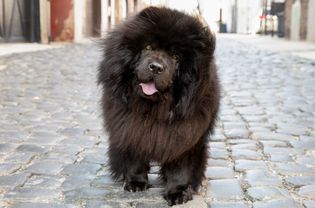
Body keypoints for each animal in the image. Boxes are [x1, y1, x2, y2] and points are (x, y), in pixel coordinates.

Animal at [97, 6, 221, 206]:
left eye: (176, 56)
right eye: (148, 47)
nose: (156, 67)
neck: (154, 109)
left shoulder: (186, 136)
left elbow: (181, 168)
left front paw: (178, 192)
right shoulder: (131, 128)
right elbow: (135, 158)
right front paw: (135, 183)